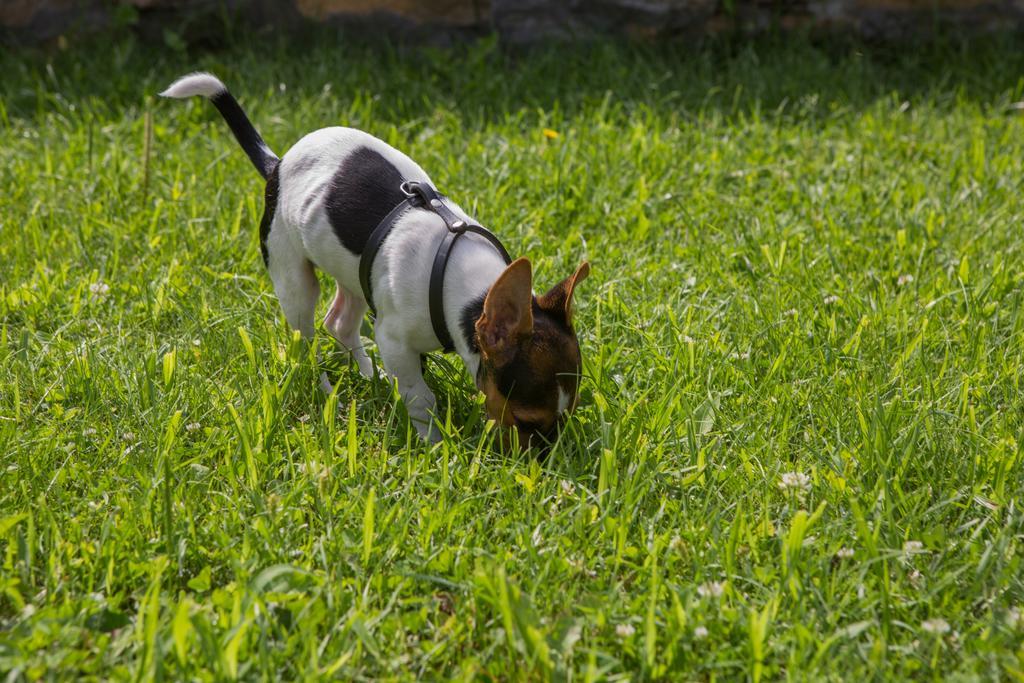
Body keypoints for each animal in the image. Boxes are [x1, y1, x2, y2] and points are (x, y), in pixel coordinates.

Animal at [162, 73, 589, 448]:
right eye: (526, 421)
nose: (542, 461)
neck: (465, 288)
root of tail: (277, 164)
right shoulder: (394, 339)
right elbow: (420, 396)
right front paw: (434, 443)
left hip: (354, 274)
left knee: (339, 323)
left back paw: (372, 377)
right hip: (293, 278)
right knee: (307, 341)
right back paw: (325, 387)